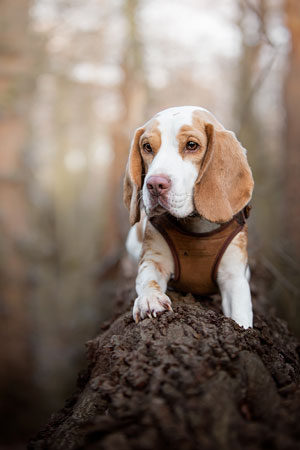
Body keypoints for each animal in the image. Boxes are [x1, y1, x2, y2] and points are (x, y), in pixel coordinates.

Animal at [123, 107, 253, 328]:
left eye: (192, 145)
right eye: (147, 147)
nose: (155, 184)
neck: (196, 225)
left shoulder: (234, 277)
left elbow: (241, 315)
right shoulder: (153, 259)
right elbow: (148, 279)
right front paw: (150, 299)